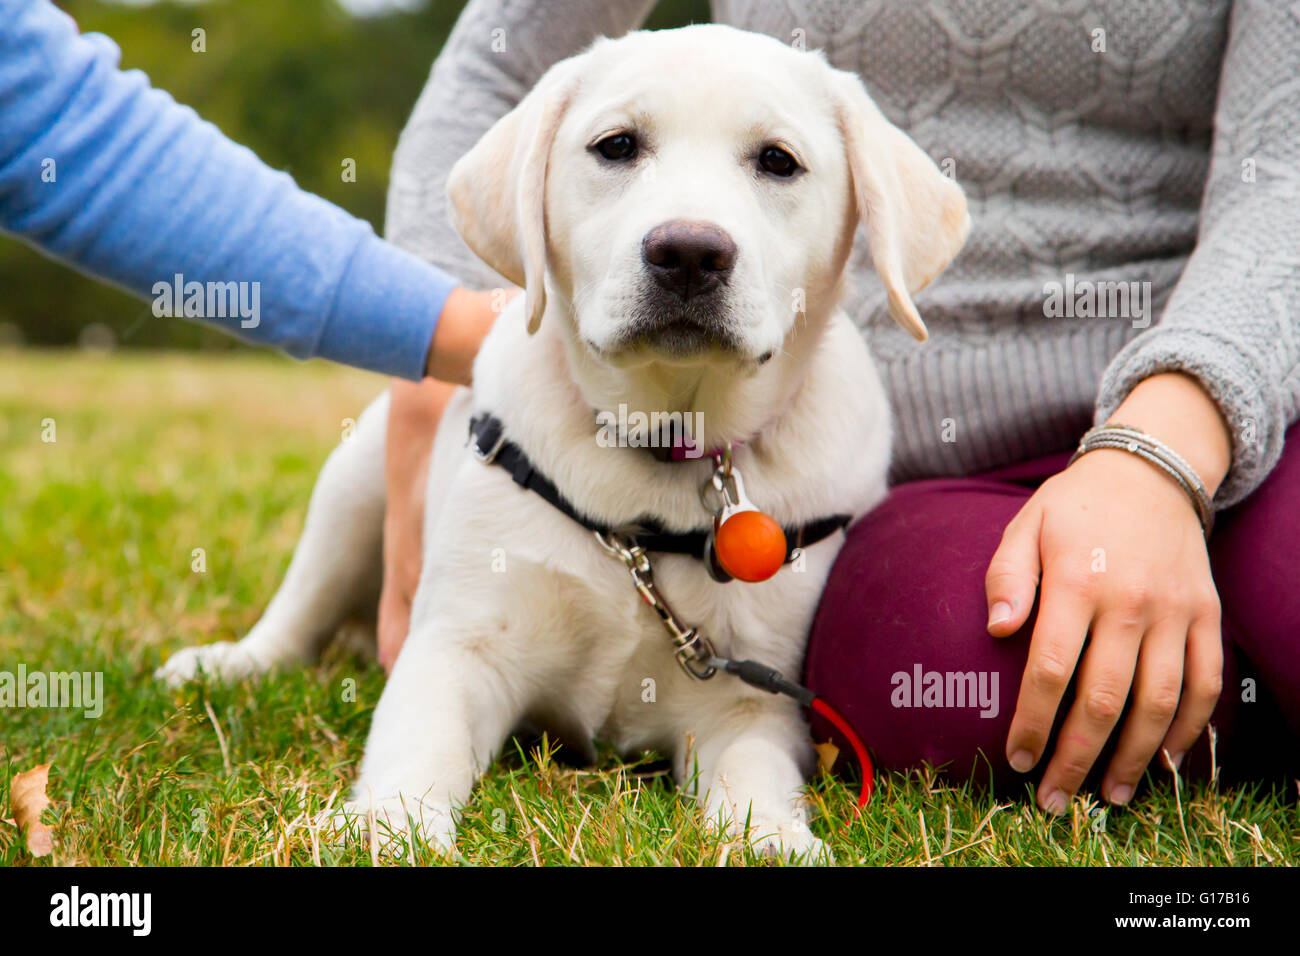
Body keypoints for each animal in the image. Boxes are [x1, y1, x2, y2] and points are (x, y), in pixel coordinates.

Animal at [157, 24, 967, 858]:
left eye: (778, 161)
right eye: (617, 146)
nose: (689, 252)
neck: (665, 445)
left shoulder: (750, 696)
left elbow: (753, 778)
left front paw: (770, 839)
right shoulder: (459, 646)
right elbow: (419, 744)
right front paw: (386, 828)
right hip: (353, 487)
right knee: (300, 610)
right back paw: (227, 664)